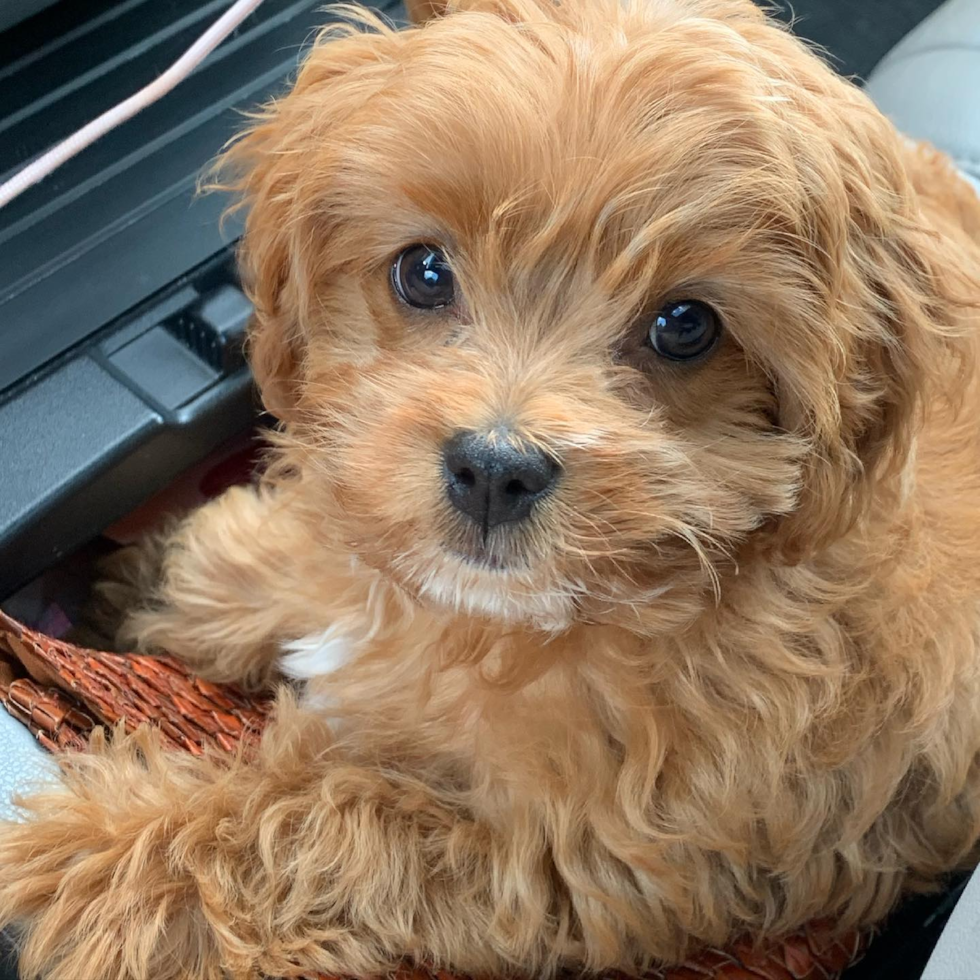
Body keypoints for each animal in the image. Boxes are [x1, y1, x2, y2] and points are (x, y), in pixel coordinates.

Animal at [1, 0, 980, 976]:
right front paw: (180, 574)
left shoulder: (565, 854)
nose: (495, 469)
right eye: (424, 271)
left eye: (686, 327)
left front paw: (97, 856)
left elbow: (322, 821)